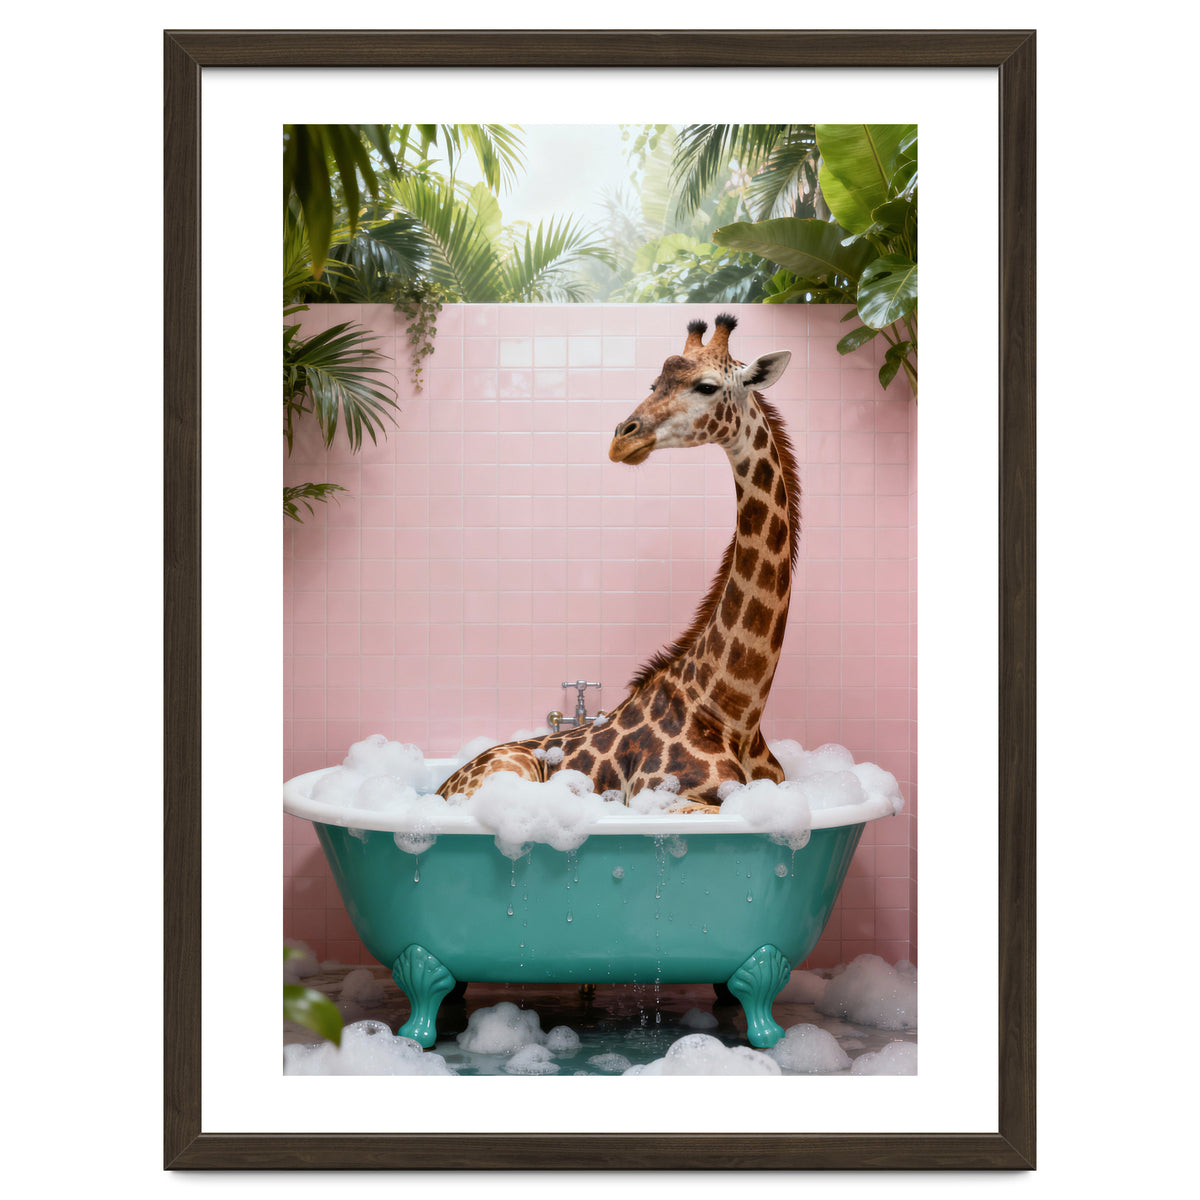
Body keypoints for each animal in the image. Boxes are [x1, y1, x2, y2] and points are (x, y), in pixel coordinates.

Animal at [437, 313, 798, 812]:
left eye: (706, 386)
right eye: (653, 383)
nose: (622, 439)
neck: (735, 712)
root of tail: (440, 788)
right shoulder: (660, 796)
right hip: (513, 770)